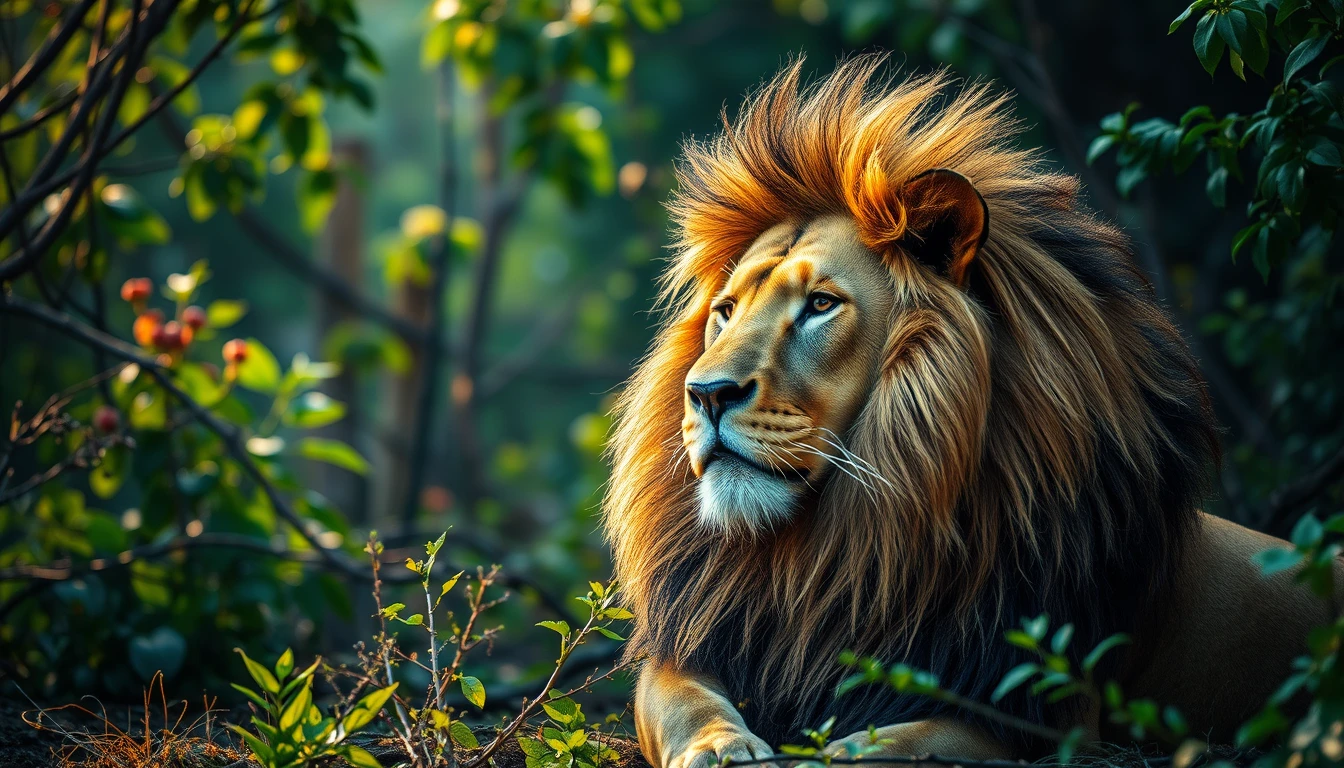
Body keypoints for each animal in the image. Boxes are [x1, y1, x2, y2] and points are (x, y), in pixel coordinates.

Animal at [602, 54, 1335, 767]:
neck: (829, 550)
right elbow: (685, 704)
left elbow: (904, 741)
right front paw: (719, 746)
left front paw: (831, 754)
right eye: (725, 311)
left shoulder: (1045, 716)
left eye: (820, 305)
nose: (706, 393)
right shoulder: (700, 642)